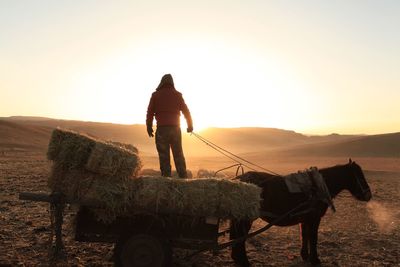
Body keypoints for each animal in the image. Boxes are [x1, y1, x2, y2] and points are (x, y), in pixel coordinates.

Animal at [230, 160, 374, 266]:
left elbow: (304, 235)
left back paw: (237, 259)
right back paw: (244, 261)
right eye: (359, 175)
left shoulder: (305, 218)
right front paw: (315, 259)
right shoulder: (314, 218)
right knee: (240, 237)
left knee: (236, 237)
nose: (368, 195)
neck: (318, 186)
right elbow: (313, 237)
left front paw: (305, 255)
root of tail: (238, 180)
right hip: (246, 218)